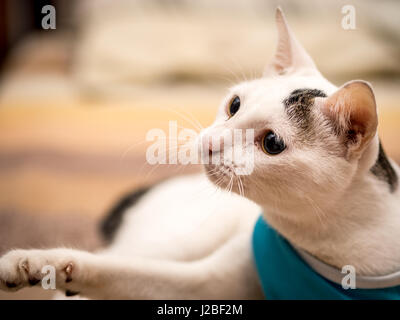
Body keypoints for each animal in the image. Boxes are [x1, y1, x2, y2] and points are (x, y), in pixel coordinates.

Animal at [0, 8, 400, 300]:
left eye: (271, 143)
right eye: (234, 104)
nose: (209, 143)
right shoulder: (207, 280)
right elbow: (105, 269)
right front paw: (33, 263)